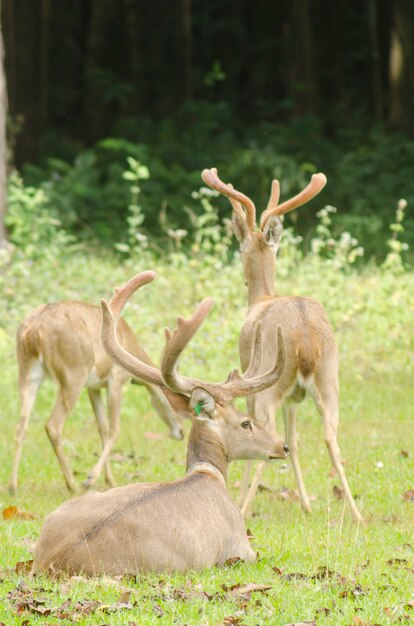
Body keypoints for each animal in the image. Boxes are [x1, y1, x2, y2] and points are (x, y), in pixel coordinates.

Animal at [9, 294, 191, 494]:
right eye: (174, 401)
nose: (181, 432)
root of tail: (34, 330)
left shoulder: (94, 387)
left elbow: (102, 427)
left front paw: (109, 480)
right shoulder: (117, 379)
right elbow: (115, 428)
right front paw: (90, 479)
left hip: (27, 372)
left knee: (21, 425)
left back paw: (13, 486)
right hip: (73, 374)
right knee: (53, 425)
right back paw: (73, 485)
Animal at [202, 166, 364, 520]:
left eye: (240, 248)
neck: (260, 298)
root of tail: (305, 337)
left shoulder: (249, 381)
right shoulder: (294, 397)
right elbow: (296, 440)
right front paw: (306, 504)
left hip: (270, 385)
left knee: (273, 442)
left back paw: (243, 507)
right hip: (329, 379)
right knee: (330, 439)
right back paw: (357, 514)